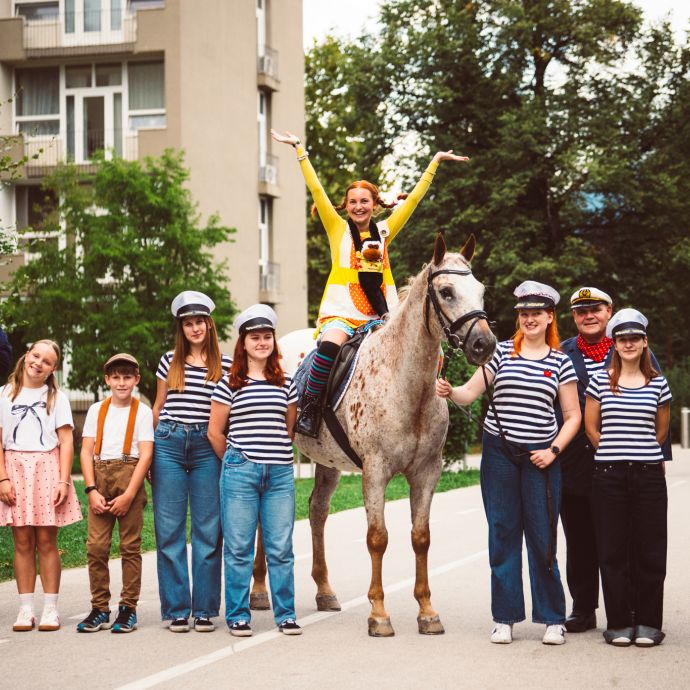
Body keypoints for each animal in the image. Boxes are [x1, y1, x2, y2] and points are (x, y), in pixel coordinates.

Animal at [252, 233, 496, 636]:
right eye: (446, 291)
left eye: (480, 291)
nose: (484, 344)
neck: (405, 384)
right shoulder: (376, 471)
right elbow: (377, 538)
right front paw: (379, 614)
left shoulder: (427, 472)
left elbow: (420, 538)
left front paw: (427, 611)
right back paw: (257, 591)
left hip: (327, 462)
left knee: (317, 511)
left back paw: (324, 590)